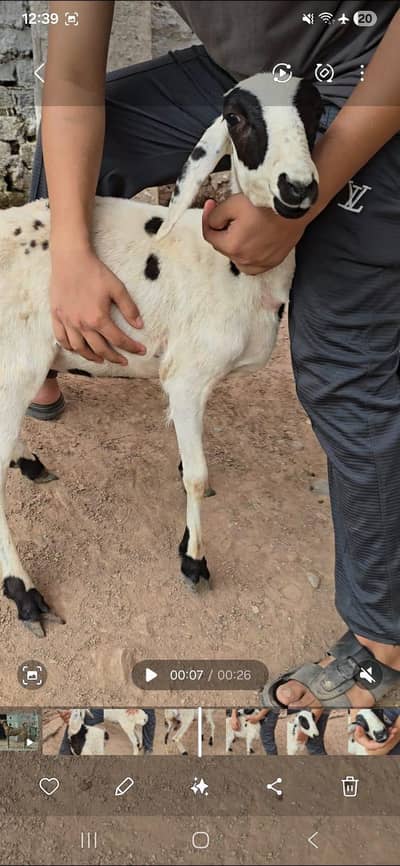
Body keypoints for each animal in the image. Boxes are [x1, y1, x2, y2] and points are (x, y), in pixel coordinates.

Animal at [0, 72, 322, 636]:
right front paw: (194, 561)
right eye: (237, 118)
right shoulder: (187, 377)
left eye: (317, 108)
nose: (297, 189)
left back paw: (29, 462)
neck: (234, 270)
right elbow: (197, 475)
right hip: (17, 359)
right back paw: (25, 594)